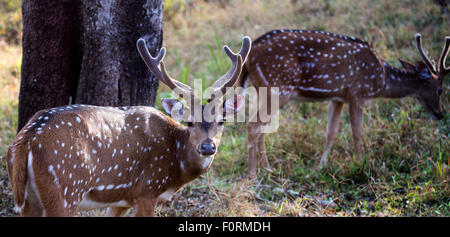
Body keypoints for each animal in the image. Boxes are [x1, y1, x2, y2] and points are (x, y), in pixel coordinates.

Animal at [7, 35, 251, 217]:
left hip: (29, 199)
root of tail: (27, 140)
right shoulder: (147, 190)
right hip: (64, 190)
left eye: (221, 121)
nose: (208, 147)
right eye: (190, 122)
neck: (176, 165)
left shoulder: (121, 200)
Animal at [239, 29, 446, 178]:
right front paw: (360, 163)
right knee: (253, 125)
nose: (440, 113)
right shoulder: (357, 93)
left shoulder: (338, 98)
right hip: (278, 87)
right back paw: (253, 174)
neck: (382, 79)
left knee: (262, 127)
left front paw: (319, 167)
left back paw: (268, 169)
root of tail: (247, 58)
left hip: (265, 90)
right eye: (440, 90)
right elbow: (357, 131)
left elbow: (331, 132)